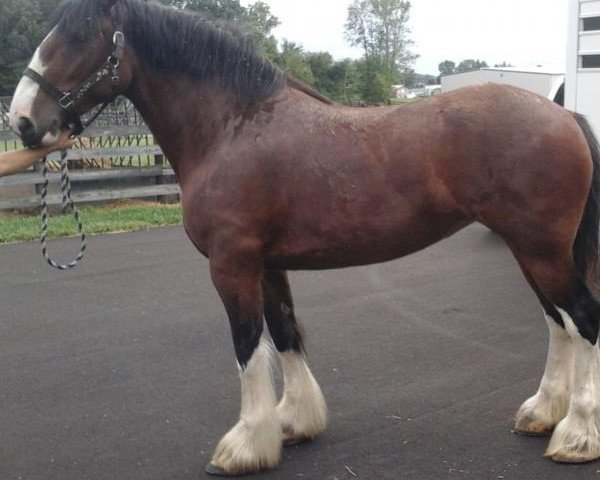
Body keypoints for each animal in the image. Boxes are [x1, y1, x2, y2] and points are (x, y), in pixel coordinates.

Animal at [8, 0, 600, 474]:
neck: (233, 127)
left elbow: (247, 345)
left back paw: (577, 435)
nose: (22, 121)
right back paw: (543, 414)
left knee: (583, 322)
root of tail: (564, 114)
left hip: (541, 250)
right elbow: (286, 332)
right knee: (558, 324)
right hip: (533, 249)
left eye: (78, 36)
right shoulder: (268, 265)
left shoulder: (232, 264)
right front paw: (293, 423)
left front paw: (245, 445)